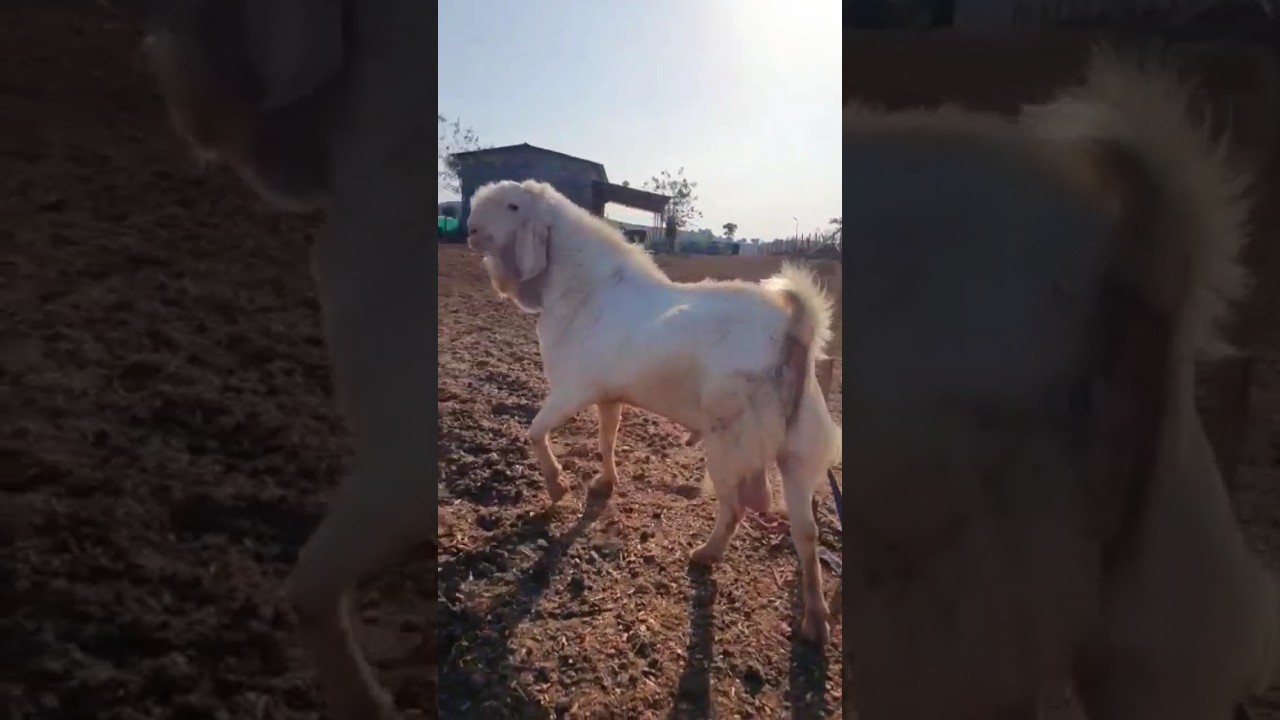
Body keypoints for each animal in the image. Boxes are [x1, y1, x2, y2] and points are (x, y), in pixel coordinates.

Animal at [466, 180, 843, 643]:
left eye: (514, 206)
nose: (471, 229)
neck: (589, 290)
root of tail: (797, 327)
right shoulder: (608, 394)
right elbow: (607, 437)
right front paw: (603, 483)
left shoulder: (572, 389)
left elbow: (535, 431)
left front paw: (557, 487)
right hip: (799, 451)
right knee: (806, 531)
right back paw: (815, 620)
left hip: (729, 442)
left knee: (735, 507)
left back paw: (705, 554)